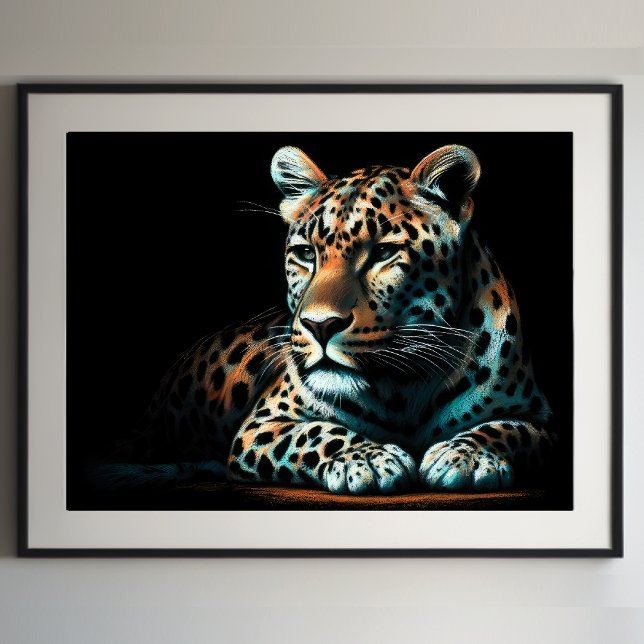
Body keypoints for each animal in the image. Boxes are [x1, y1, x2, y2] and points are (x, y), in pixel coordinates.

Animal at [96, 144, 555, 495]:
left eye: (384, 252)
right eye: (305, 254)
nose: (319, 326)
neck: (403, 390)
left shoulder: (542, 422)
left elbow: (509, 428)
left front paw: (467, 455)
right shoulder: (261, 424)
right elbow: (315, 432)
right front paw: (368, 458)